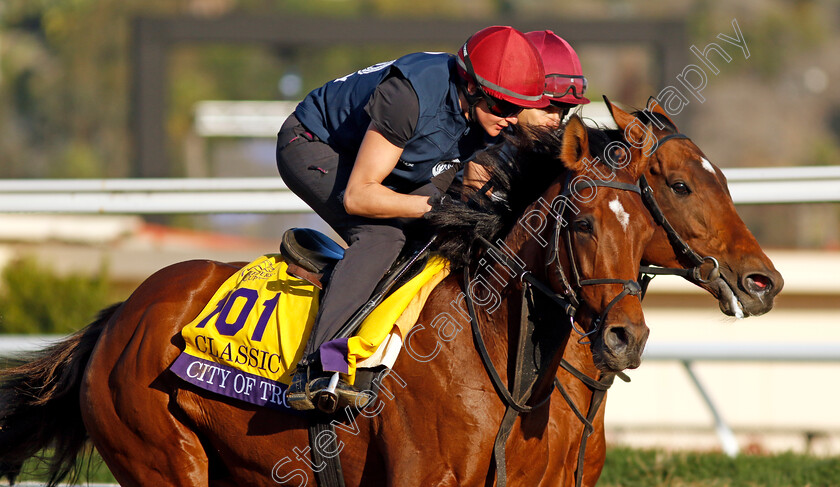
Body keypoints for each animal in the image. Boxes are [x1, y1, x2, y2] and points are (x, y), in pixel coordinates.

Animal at [0, 113, 652, 484]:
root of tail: (119, 318)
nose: (629, 336)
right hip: (162, 457)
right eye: (584, 223)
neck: (486, 342)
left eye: (645, 226)